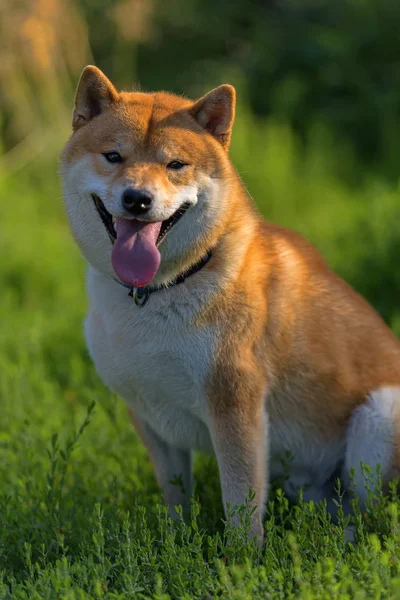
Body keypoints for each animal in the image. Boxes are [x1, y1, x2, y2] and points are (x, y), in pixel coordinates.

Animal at [61, 65, 400, 544]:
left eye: (175, 165)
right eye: (113, 156)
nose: (137, 199)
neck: (161, 289)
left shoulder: (236, 406)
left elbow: (241, 506)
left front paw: (239, 559)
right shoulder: (149, 414)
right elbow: (176, 497)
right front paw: (175, 545)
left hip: (381, 415)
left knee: (378, 518)